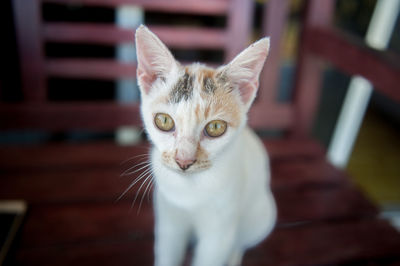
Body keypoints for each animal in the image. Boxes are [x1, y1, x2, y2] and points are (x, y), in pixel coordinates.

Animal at [134, 25, 276, 266]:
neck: (190, 189)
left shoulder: (219, 234)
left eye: (216, 127)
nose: (183, 160)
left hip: (261, 217)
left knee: (239, 243)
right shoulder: (169, 220)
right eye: (164, 121)